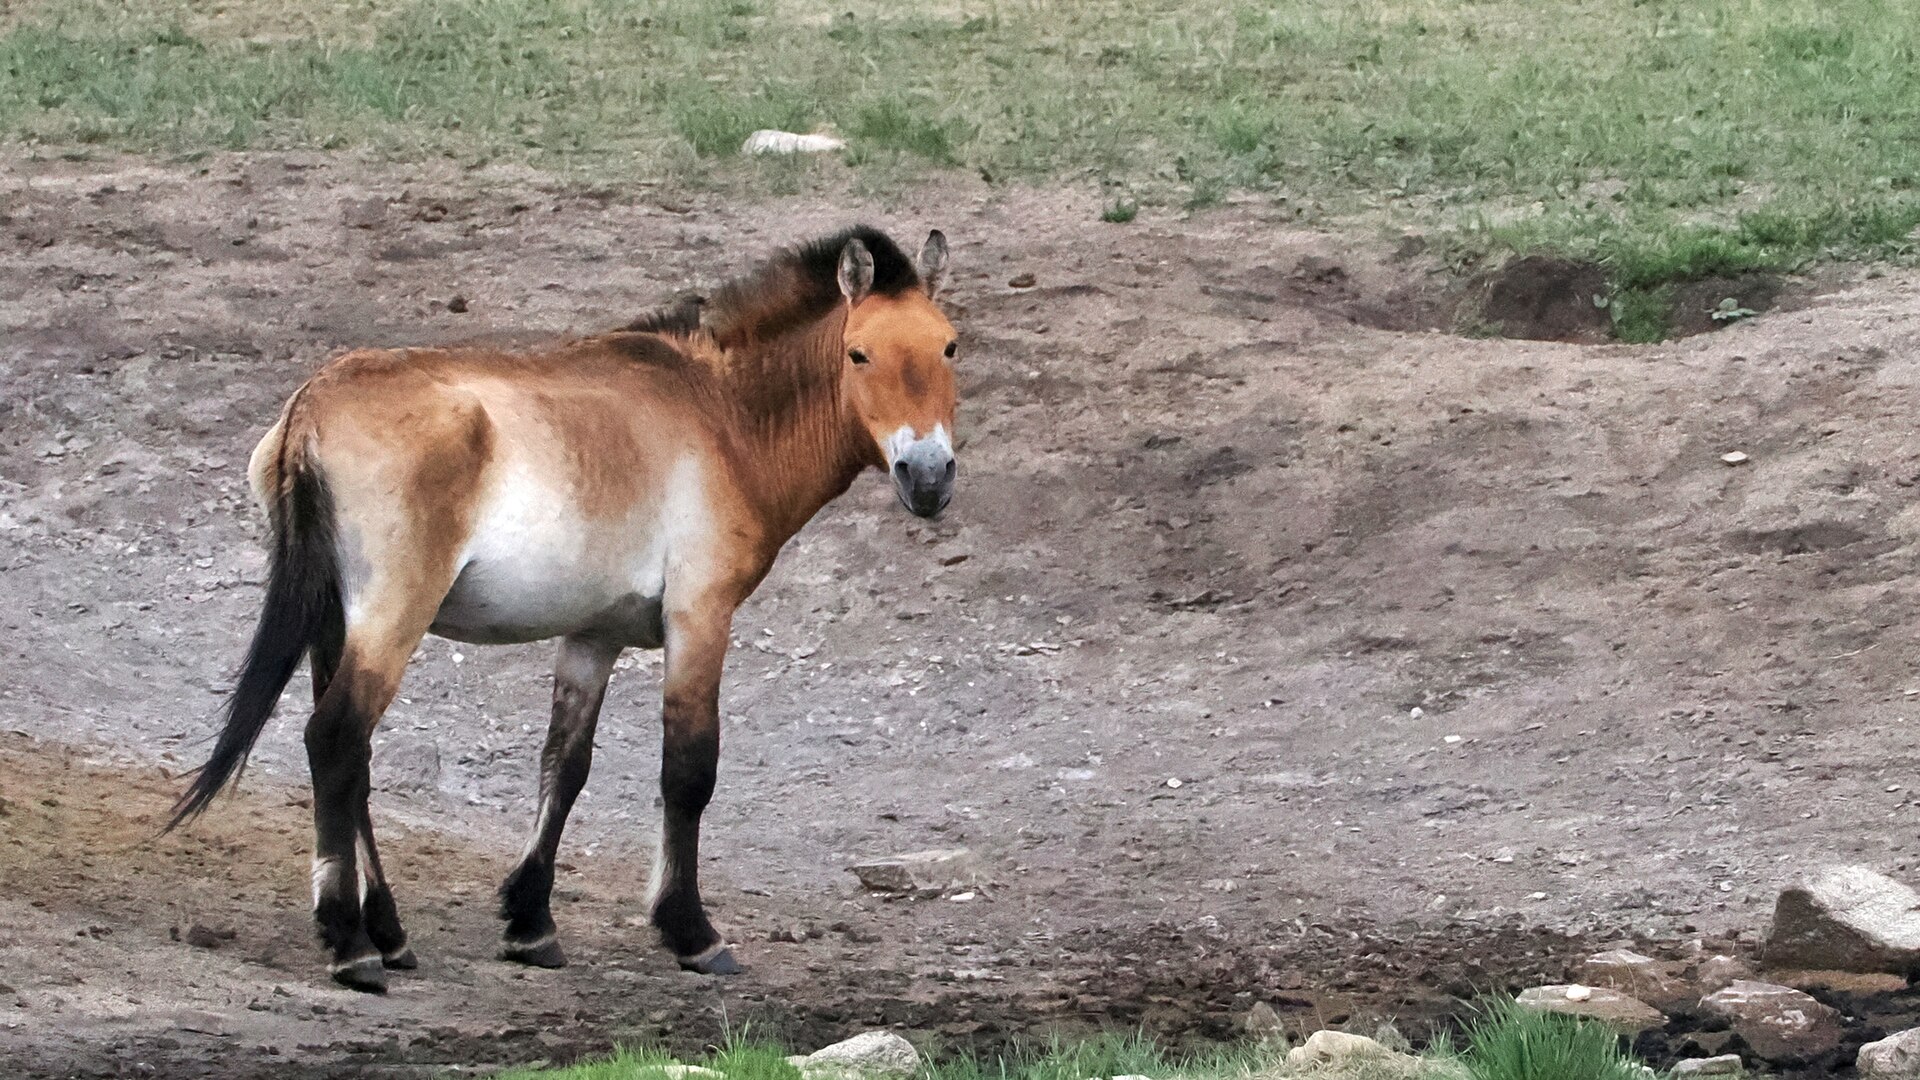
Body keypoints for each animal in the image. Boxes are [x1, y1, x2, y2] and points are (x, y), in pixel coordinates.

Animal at [166, 226, 960, 992]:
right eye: (859, 353)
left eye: (949, 345)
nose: (928, 477)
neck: (721, 416)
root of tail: (312, 406)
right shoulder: (700, 619)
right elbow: (688, 771)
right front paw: (692, 933)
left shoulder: (592, 637)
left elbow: (564, 766)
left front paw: (530, 923)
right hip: (390, 618)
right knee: (334, 741)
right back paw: (351, 946)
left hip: (337, 624)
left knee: (352, 763)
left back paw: (389, 933)